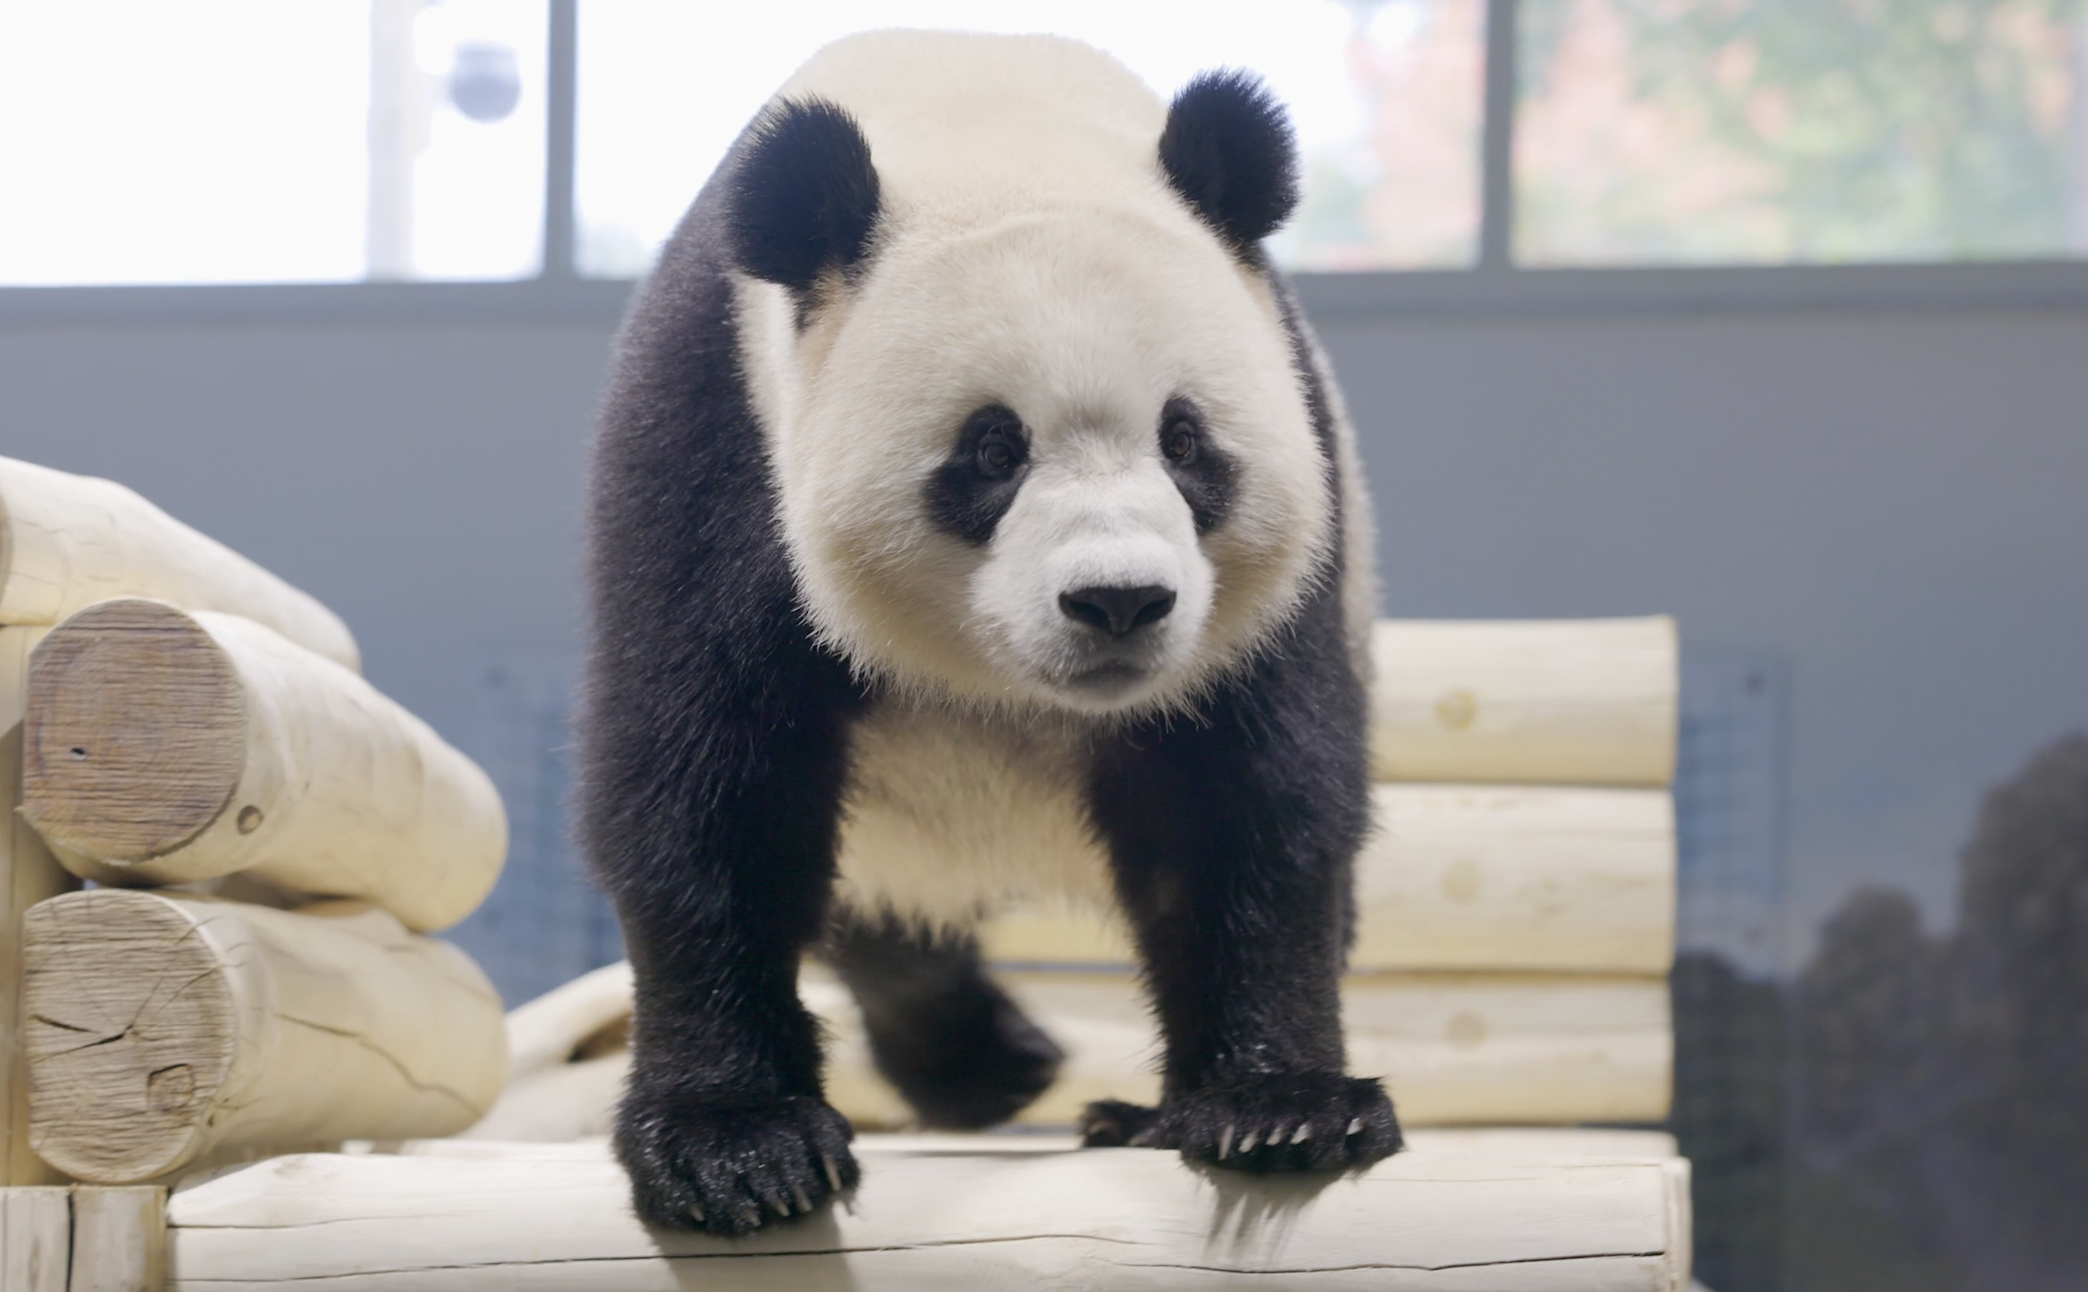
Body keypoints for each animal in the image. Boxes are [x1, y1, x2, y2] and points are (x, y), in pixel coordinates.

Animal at [580, 29, 1398, 1235]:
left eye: (1185, 439)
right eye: (992, 449)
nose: (1120, 601)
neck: (984, 107)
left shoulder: (1295, 523)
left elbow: (1246, 799)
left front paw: (1283, 1107)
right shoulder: (714, 433)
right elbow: (711, 787)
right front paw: (736, 1146)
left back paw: (1117, 1108)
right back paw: (985, 1063)